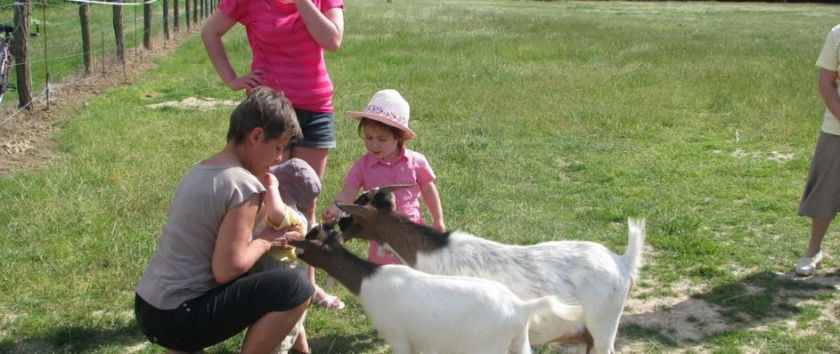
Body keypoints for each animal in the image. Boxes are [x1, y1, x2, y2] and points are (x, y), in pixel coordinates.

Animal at [292, 224, 580, 354]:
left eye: (308, 245)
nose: (294, 250)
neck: (369, 279)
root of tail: (521, 307)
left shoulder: (399, 339)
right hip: (519, 342)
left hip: (489, 347)